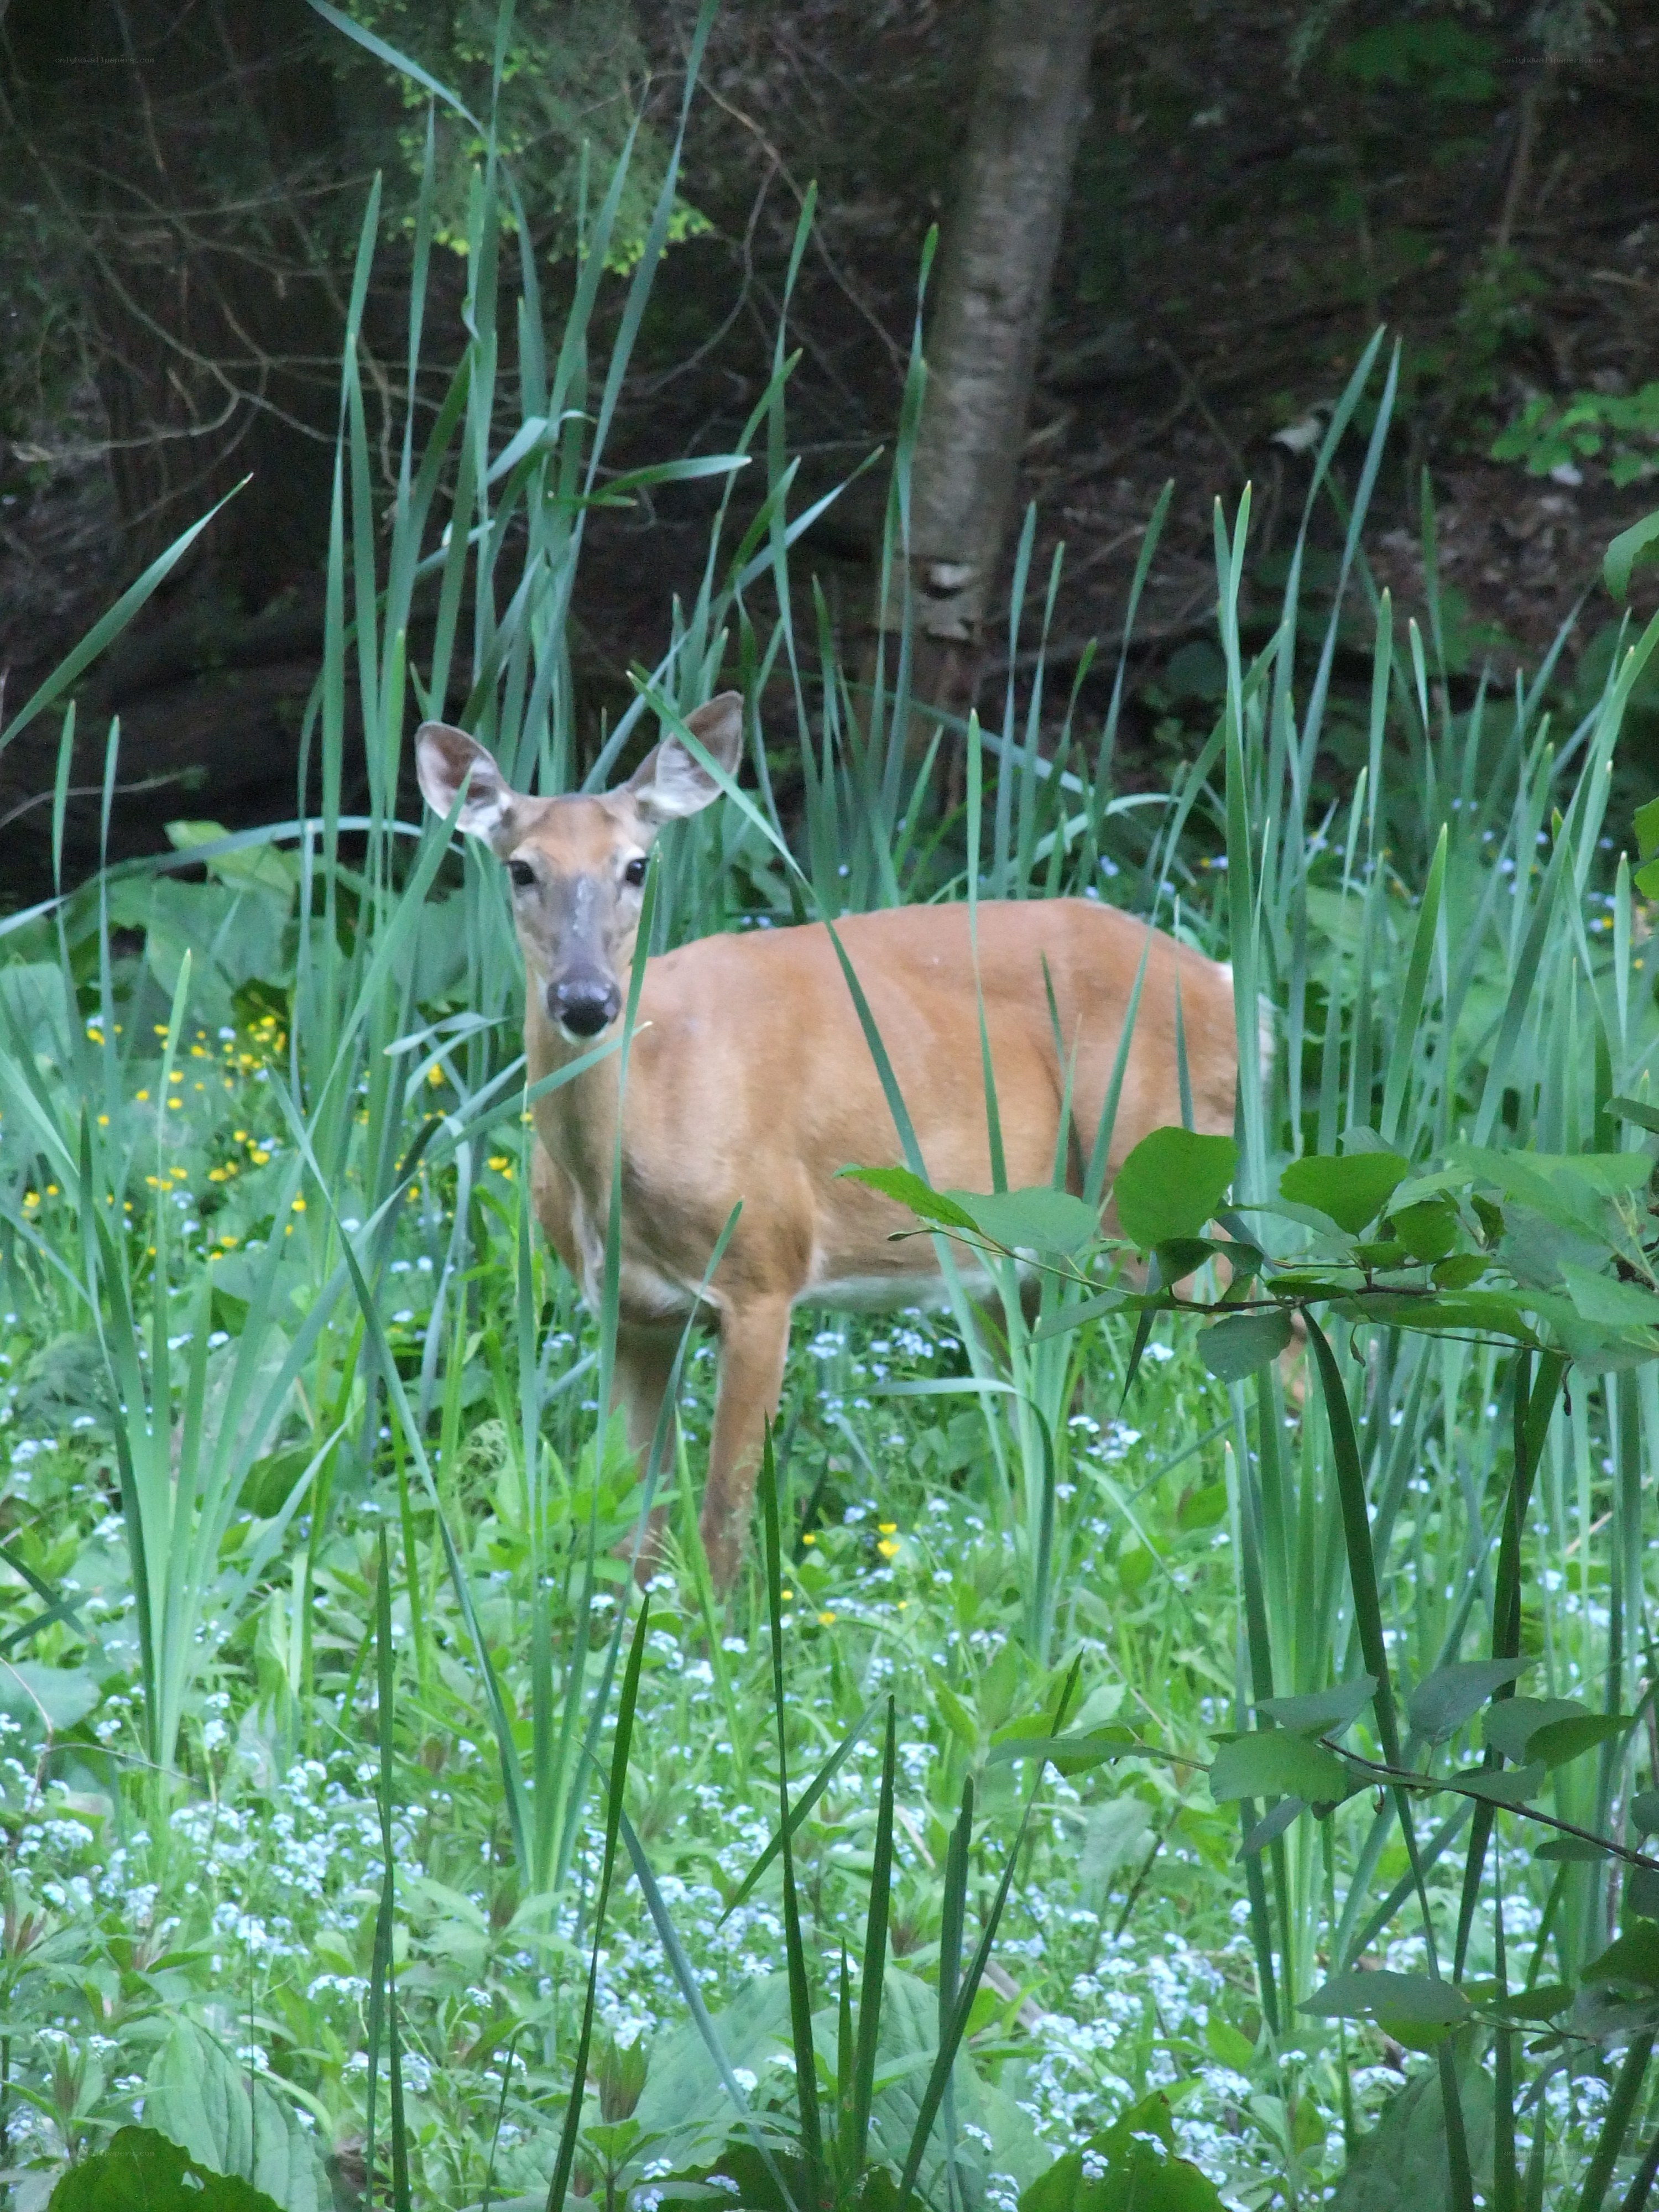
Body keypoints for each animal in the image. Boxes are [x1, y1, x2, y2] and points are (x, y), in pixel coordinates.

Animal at [416, 693, 1239, 1591]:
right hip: (1024, 1258)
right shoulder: (628, 1314)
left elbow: (722, 1521)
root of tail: (1230, 988)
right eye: (521, 869)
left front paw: (722, 1629)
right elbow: (639, 1530)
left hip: (1163, 1179)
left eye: (636, 866)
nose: (586, 999)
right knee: (1055, 1410)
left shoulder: (764, 1267)